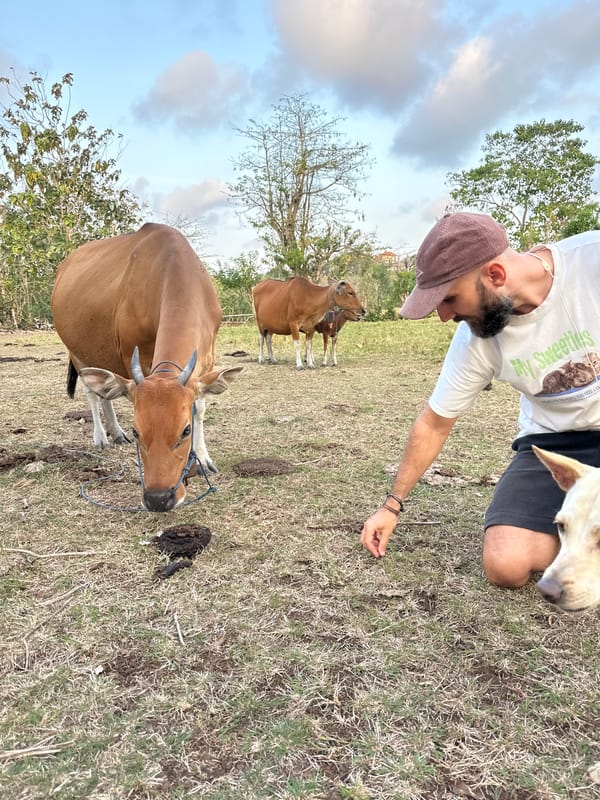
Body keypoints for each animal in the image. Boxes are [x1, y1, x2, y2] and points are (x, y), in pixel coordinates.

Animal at [51, 222, 242, 512]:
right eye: (137, 431)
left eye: (185, 430)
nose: (158, 498)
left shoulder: (207, 358)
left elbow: (200, 408)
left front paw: (202, 459)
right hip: (77, 352)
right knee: (92, 393)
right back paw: (102, 436)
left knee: (105, 393)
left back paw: (115, 433)